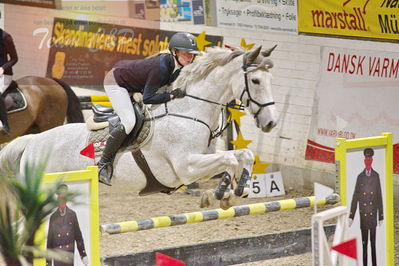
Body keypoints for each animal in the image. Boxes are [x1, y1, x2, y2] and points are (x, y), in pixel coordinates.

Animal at [0, 45, 278, 209]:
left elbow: (243, 154)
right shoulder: (186, 167)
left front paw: (239, 188)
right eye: (255, 80)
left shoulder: (205, 157)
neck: (189, 111)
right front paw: (221, 192)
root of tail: (32, 143)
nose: (271, 122)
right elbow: (230, 159)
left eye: (270, 79)